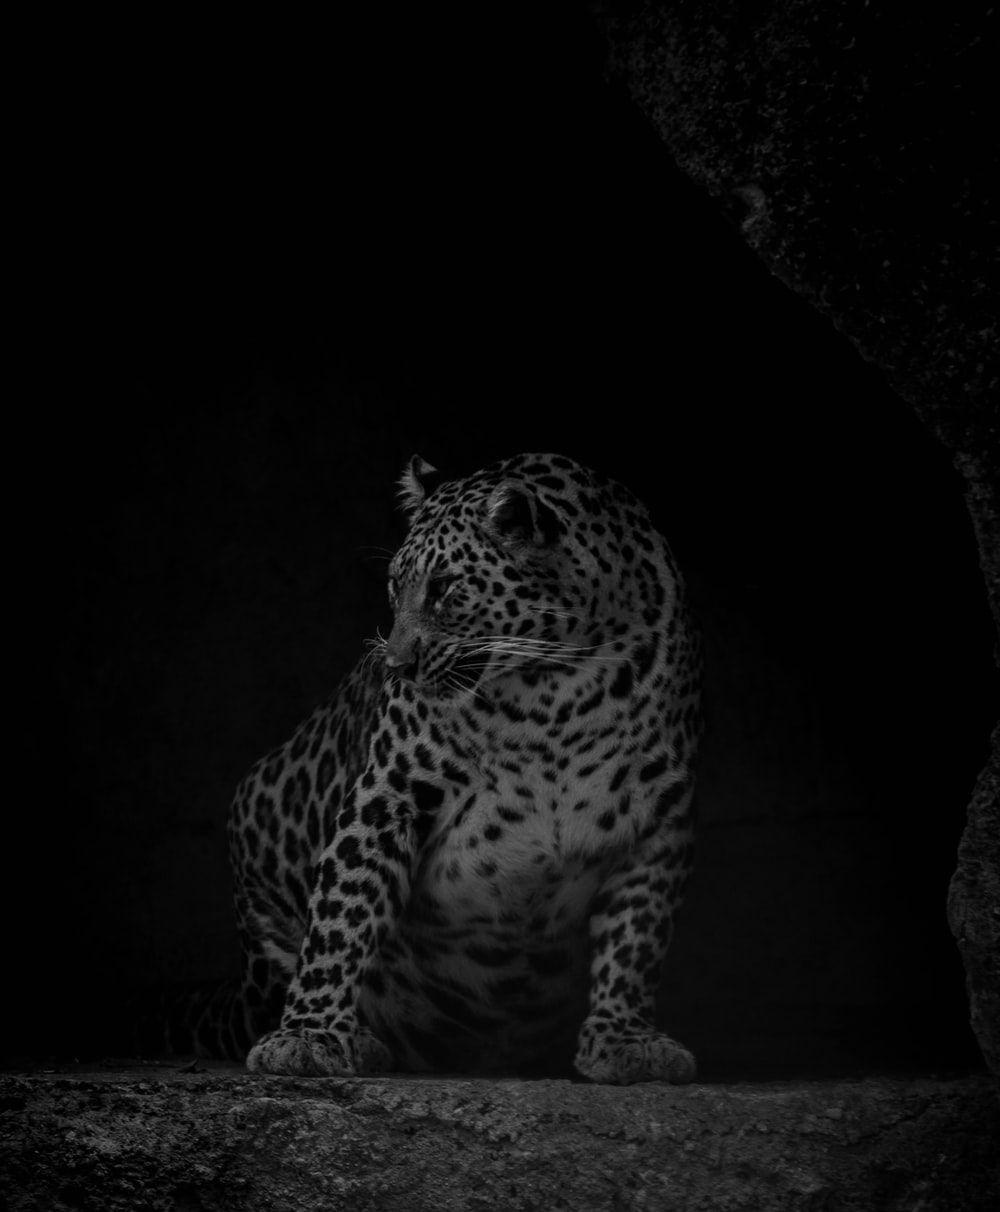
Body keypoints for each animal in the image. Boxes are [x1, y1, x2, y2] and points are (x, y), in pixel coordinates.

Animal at [209, 452, 701, 1084]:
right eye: (395, 586)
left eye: (443, 588)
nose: (395, 665)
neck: (556, 693)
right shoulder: (386, 796)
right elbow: (342, 916)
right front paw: (307, 1036)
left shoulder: (658, 821)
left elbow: (638, 937)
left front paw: (625, 1041)